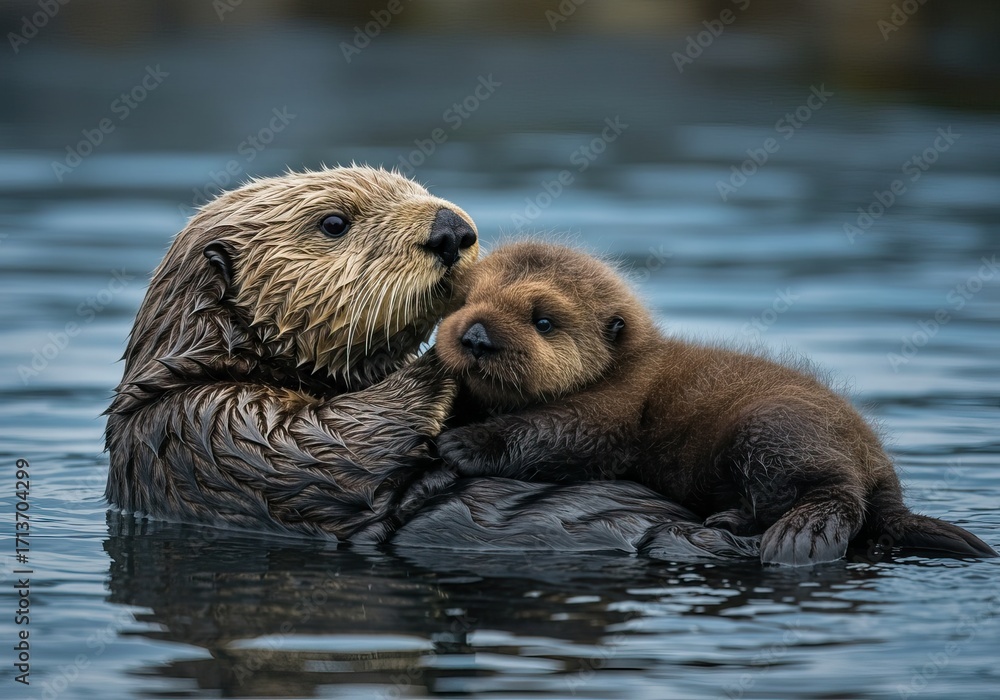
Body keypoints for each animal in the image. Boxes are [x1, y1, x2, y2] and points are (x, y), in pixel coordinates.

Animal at [104, 167, 757, 560]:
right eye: (334, 222)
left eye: (418, 189)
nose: (452, 230)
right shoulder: (205, 425)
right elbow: (324, 446)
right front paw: (440, 362)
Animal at [435, 242, 997, 565]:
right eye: (466, 300)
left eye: (544, 321)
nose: (477, 336)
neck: (622, 366)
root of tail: (882, 473)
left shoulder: (611, 409)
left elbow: (554, 434)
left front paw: (464, 443)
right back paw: (731, 520)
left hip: (773, 430)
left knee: (837, 495)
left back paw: (796, 535)